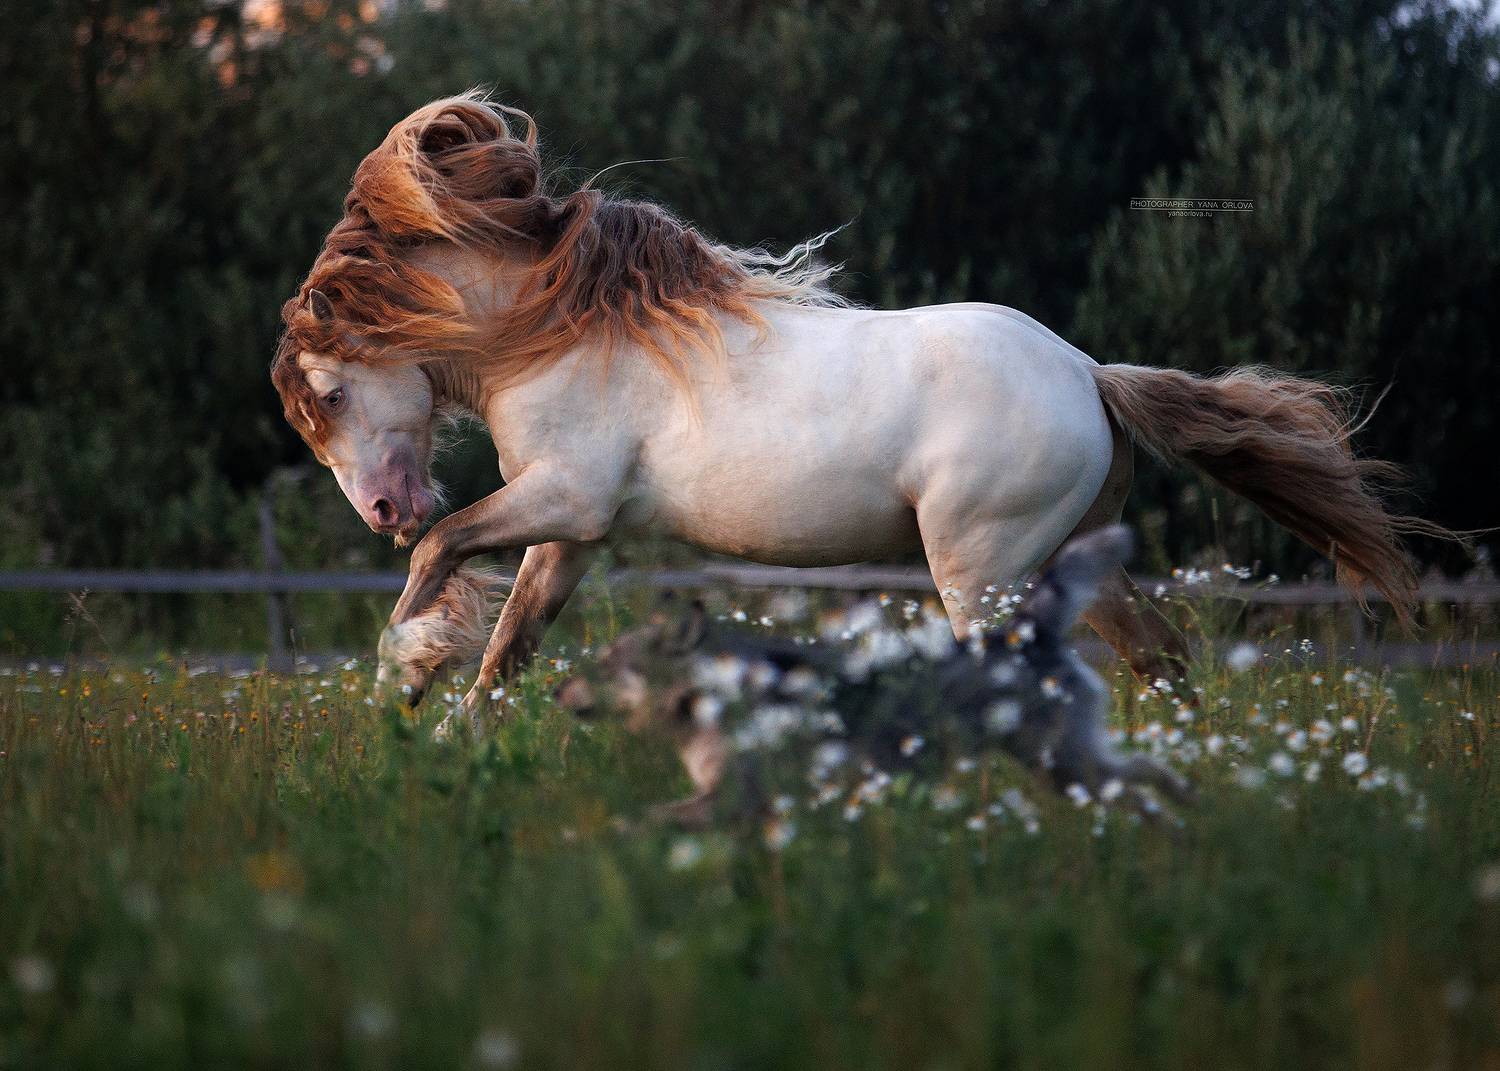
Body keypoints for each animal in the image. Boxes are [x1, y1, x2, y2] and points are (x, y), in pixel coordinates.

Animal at [271, 93, 1448, 735]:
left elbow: (447, 554)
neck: (554, 330)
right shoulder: (572, 534)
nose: (382, 508)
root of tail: (1086, 373)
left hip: (981, 571)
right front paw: (453, 739)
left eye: (328, 391)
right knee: (1162, 658)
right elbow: (510, 642)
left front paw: (404, 670)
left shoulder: (565, 498)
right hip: (1068, 558)